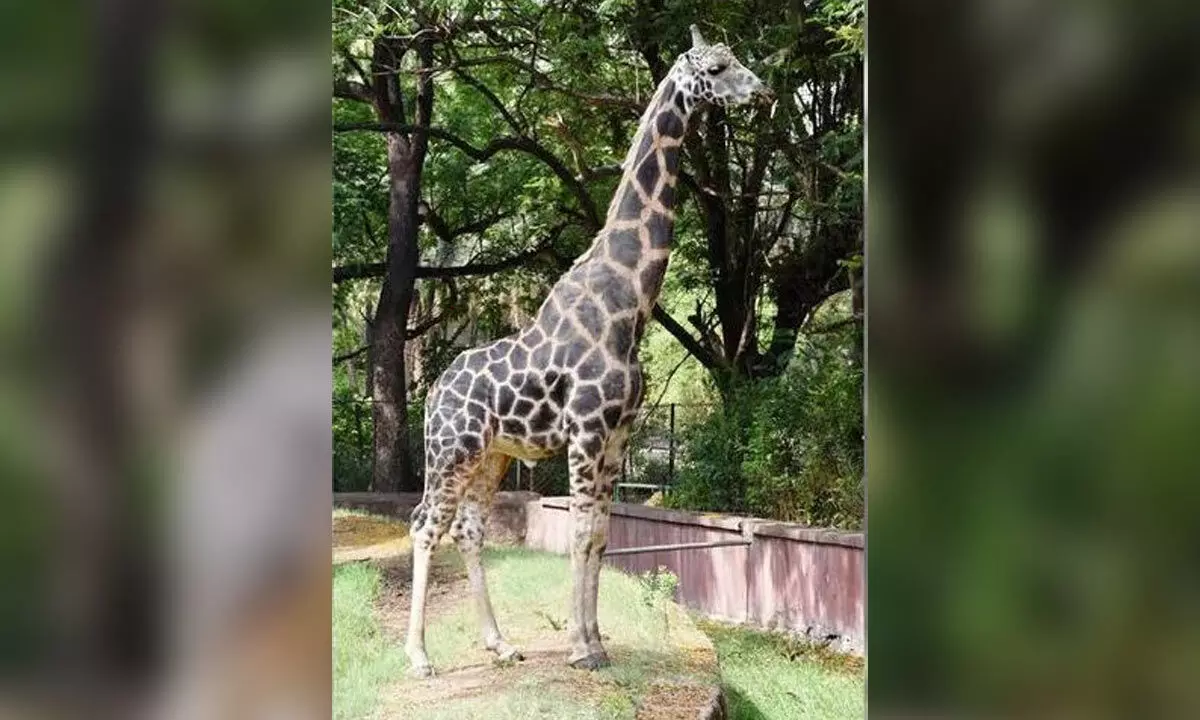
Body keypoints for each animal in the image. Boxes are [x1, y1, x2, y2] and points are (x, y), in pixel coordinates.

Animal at [405, 25, 773, 677]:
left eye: (734, 60)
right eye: (718, 67)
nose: (763, 89)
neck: (631, 299)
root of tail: (432, 396)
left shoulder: (619, 433)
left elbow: (603, 534)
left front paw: (598, 641)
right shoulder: (587, 429)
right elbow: (578, 533)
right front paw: (579, 647)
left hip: (490, 457)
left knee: (469, 530)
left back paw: (501, 645)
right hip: (449, 451)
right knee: (425, 526)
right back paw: (419, 658)